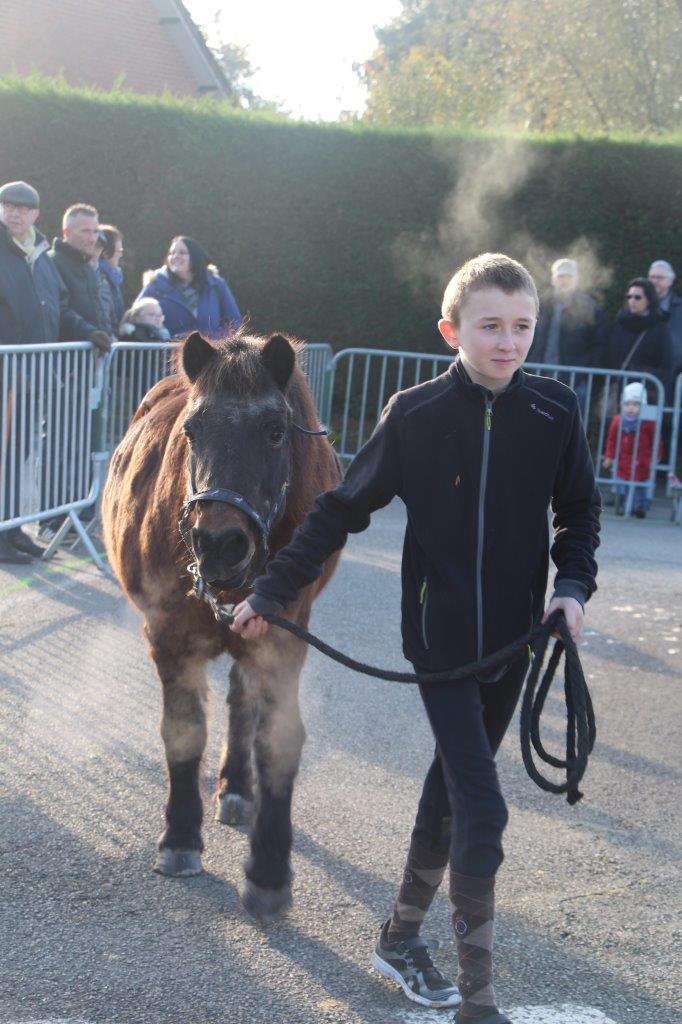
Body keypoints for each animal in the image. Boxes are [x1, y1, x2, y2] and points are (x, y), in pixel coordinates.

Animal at [102, 329, 339, 921]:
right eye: (192, 429)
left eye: (275, 431)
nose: (218, 543)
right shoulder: (169, 639)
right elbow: (184, 731)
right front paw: (180, 839)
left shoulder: (280, 640)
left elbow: (277, 740)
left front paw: (269, 869)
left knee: (241, 701)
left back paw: (236, 787)